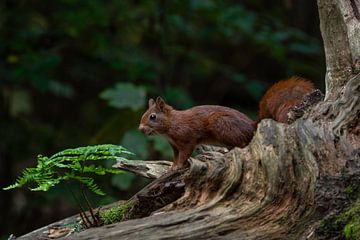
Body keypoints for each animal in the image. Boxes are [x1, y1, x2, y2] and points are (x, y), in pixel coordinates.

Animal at [139, 76, 314, 169]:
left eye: (152, 116)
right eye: (144, 114)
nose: (140, 129)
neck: (171, 124)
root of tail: (252, 127)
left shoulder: (187, 138)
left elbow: (185, 154)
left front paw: (179, 166)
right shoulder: (174, 145)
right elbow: (175, 157)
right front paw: (172, 167)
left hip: (221, 124)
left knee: (242, 144)